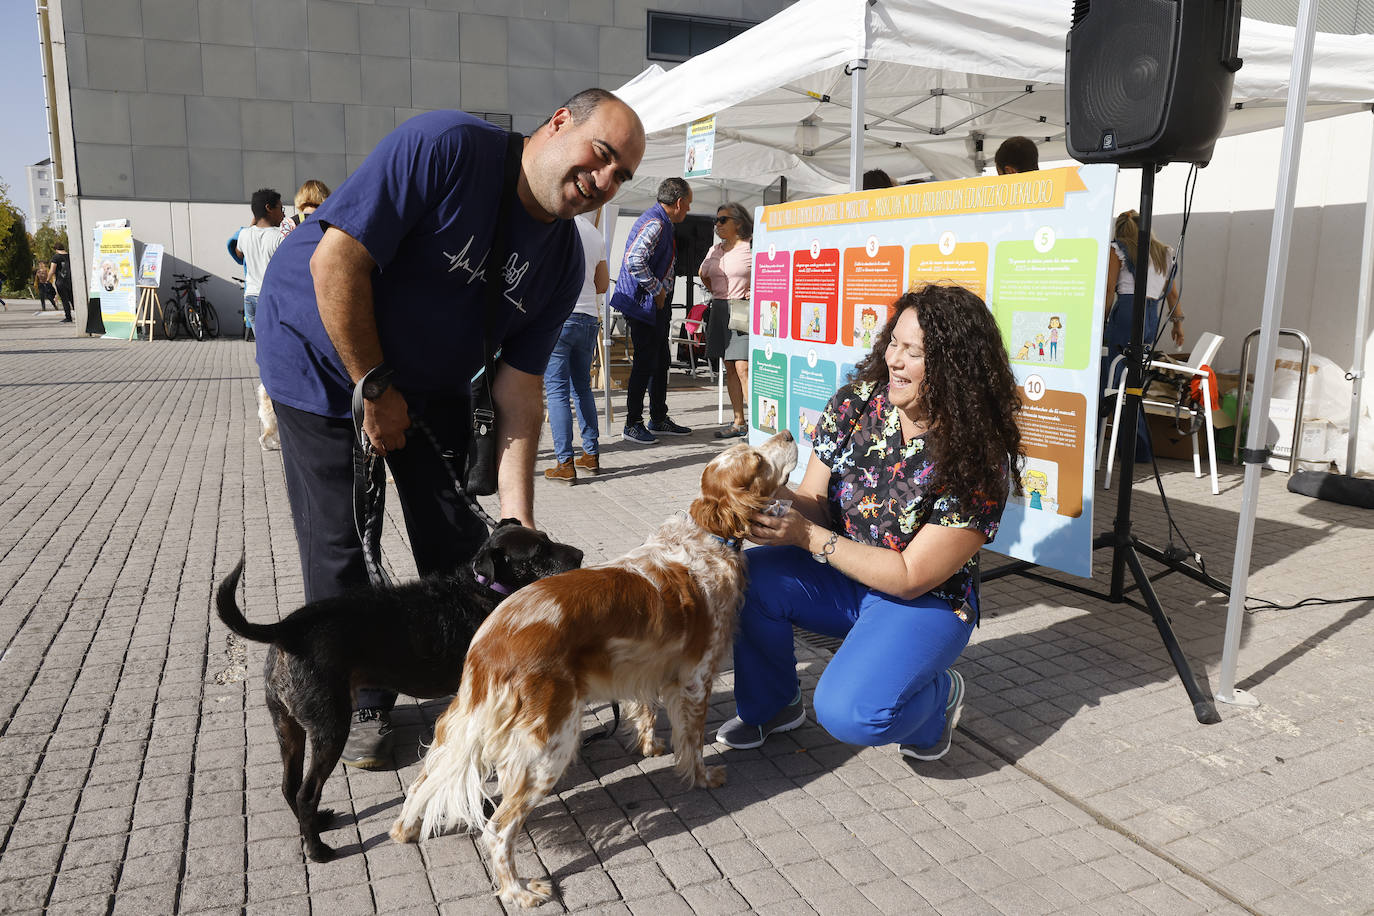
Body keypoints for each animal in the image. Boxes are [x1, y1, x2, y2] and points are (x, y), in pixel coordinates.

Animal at [212, 519, 579, 862]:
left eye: (546, 537)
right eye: (538, 552)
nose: (579, 555)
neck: (483, 589)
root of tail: (287, 629)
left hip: (287, 725)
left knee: (289, 785)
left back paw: (315, 825)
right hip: (330, 727)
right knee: (306, 792)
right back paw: (317, 849)